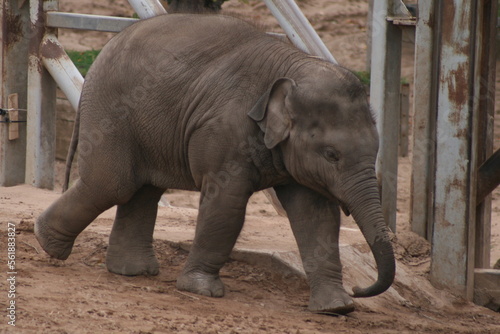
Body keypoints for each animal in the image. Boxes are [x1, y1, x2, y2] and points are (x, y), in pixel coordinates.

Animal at [35, 13, 394, 316]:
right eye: (332, 154)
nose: (359, 289)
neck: (292, 68)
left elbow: (316, 216)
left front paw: (337, 308)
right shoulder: (225, 131)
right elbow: (227, 204)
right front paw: (202, 290)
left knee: (144, 190)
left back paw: (132, 271)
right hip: (112, 111)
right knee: (114, 184)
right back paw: (47, 243)